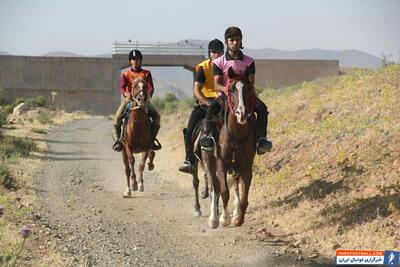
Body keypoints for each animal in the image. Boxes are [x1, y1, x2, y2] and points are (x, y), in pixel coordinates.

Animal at [203, 68, 256, 229]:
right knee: (215, 187)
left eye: (248, 88)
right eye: (231, 89)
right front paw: (224, 219)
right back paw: (213, 218)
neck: (236, 136)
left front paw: (238, 218)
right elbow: (224, 192)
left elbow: (244, 195)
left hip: (235, 167)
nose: (242, 114)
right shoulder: (222, 164)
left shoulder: (246, 167)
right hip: (210, 163)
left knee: (236, 186)